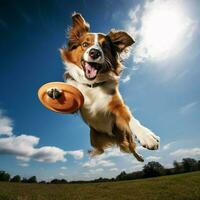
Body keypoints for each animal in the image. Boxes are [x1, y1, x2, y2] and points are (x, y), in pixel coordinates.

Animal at [58, 12, 159, 161]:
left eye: (104, 47)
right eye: (85, 44)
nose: (95, 52)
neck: (92, 86)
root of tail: (113, 139)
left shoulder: (118, 106)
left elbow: (131, 118)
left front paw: (147, 135)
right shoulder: (76, 105)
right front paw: (54, 91)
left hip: (125, 135)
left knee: (131, 147)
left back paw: (139, 157)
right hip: (94, 139)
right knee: (100, 150)